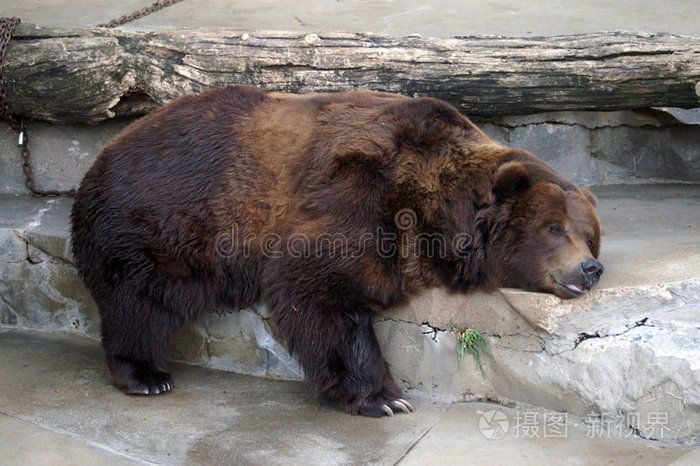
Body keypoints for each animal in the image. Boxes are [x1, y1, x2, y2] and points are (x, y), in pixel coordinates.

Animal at [74, 83, 604, 418]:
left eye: (588, 233)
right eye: (554, 228)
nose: (590, 267)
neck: (435, 213)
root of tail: (104, 152)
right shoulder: (359, 195)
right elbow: (319, 291)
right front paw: (385, 398)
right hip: (160, 224)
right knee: (139, 300)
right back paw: (146, 374)